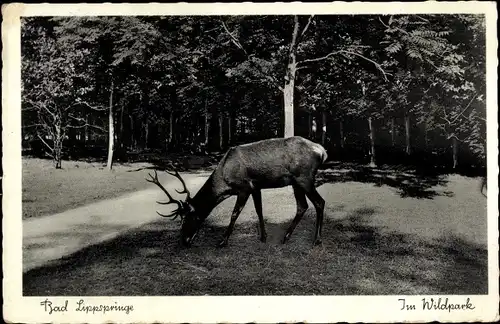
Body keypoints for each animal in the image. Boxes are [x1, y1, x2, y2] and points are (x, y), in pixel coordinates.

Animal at [146, 135, 330, 247]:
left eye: (189, 217)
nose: (184, 241)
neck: (224, 181)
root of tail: (322, 151)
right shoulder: (255, 187)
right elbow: (259, 210)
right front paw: (263, 237)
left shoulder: (243, 188)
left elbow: (235, 214)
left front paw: (223, 241)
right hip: (296, 182)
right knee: (302, 205)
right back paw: (286, 237)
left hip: (304, 178)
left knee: (319, 202)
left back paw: (317, 240)